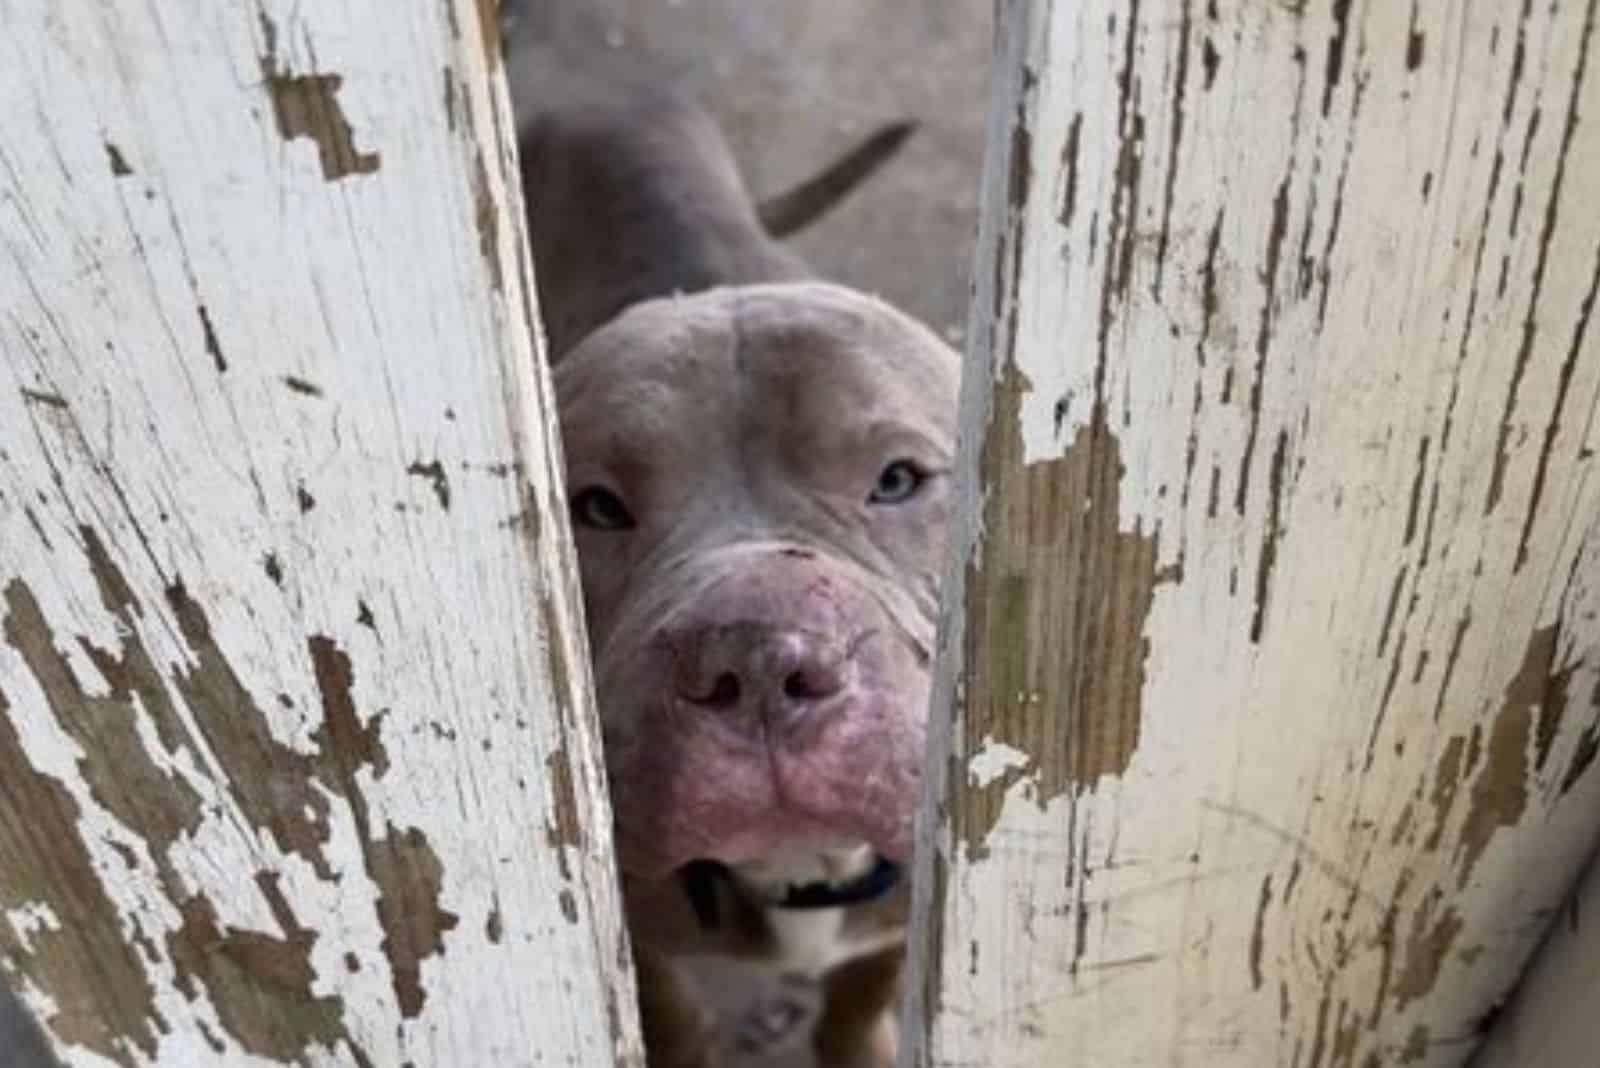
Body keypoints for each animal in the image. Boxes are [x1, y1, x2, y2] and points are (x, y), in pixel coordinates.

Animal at [505, 10, 960, 1068]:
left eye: (898, 479)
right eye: (595, 506)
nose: (754, 660)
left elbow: (858, 997)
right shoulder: (641, 934)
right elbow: (674, 1013)